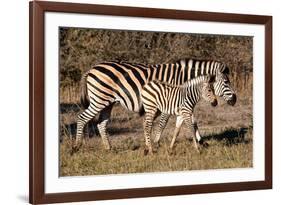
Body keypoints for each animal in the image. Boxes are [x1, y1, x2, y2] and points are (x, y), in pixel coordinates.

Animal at [73, 58, 235, 151]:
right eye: (226, 82)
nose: (235, 99)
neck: (183, 79)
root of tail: (92, 68)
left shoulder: (180, 102)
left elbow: (193, 121)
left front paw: (202, 142)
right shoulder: (170, 100)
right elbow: (163, 123)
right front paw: (156, 143)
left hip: (108, 102)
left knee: (101, 123)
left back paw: (109, 148)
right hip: (99, 99)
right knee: (82, 118)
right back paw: (76, 147)